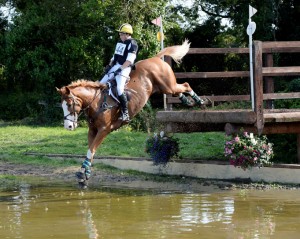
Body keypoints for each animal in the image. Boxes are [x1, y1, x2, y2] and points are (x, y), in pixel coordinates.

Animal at [57, 40, 210, 188]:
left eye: (69, 105)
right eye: (62, 106)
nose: (68, 127)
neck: (97, 102)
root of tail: (155, 58)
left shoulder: (104, 130)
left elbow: (92, 149)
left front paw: (83, 174)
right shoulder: (92, 130)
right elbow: (90, 150)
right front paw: (85, 174)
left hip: (168, 85)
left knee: (185, 85)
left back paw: (200, 101)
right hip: (164, 88)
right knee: (179, 90)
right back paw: (188, 101)